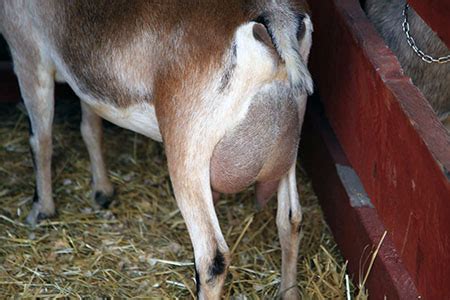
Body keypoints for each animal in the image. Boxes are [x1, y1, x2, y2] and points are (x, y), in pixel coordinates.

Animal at [0, 1, 312, 298]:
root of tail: (273, 15)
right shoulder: (87, 79)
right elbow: (91, 126)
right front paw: (102, 191)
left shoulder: (27, 52)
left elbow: (41, 139)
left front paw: (41, 211)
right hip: (290, 141)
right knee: (290, 219)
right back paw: (289, 292)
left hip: (188, 148)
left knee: (212, 257)